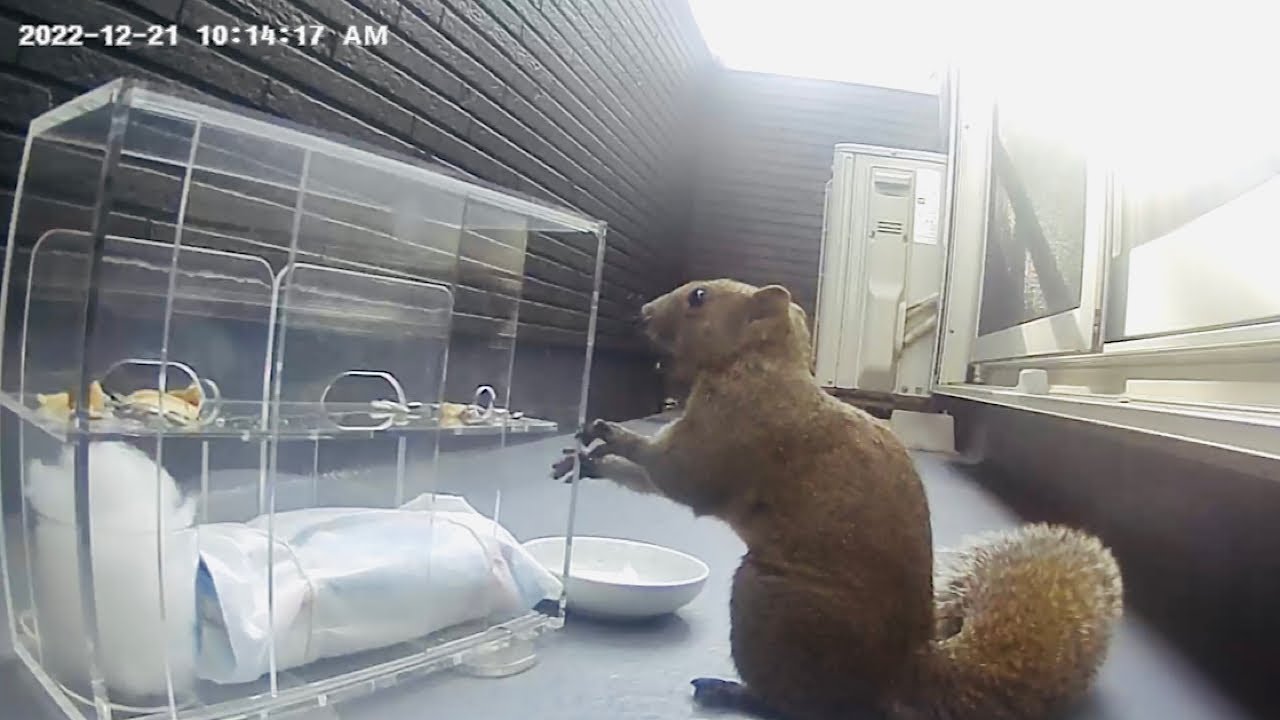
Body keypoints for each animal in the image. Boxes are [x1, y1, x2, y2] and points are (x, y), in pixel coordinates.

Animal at [552, 279, 1123, 720]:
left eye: (698, 297)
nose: (643, 312)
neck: (755, 365)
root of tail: (901, 673)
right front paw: (590, 448)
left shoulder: (727, 436)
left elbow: (676, 476)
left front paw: (608, 446)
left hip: (771, 606)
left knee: (808, 706)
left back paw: (733, 692)